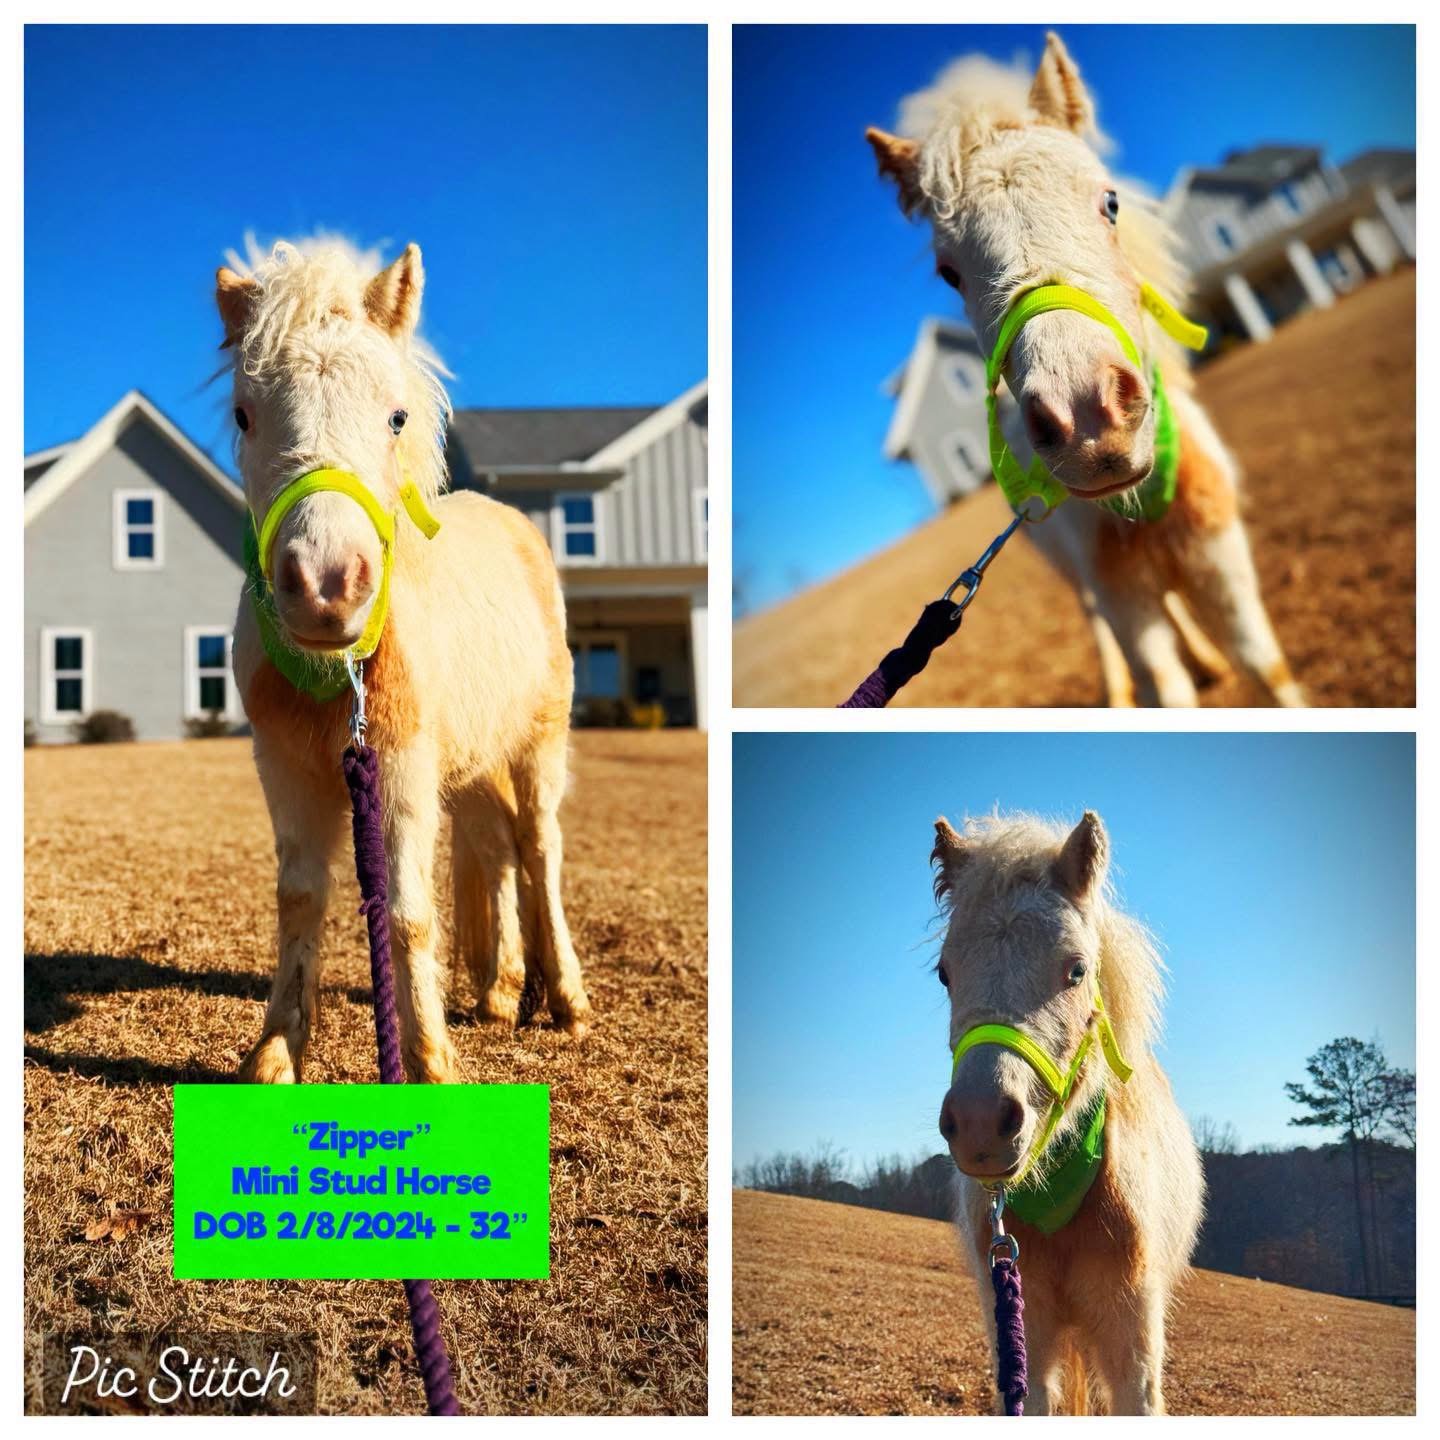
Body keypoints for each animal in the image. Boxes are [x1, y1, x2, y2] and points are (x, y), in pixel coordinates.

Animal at [215, 237, 592, 1084]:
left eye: (396, 416)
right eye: (244, 414)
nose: (326, 585)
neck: (337, 675)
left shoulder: (401, 764)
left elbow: (407, 911)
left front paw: (429, 1066)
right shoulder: (283, 766)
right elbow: (299, 898)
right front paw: (275, 1054)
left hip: (538, 743)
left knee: (540, 846)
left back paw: (567, 999)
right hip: (474, 760)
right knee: (497, 846)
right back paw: (501, 992)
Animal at [867, 32, 1304, 707]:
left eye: (1111, 202)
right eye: (948, 272)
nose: (1085, 418)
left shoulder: (1223, 560)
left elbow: (1267, 666)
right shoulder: (1120, 596)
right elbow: (1164, 688)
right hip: (1077, 577)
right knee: (1099, 622)